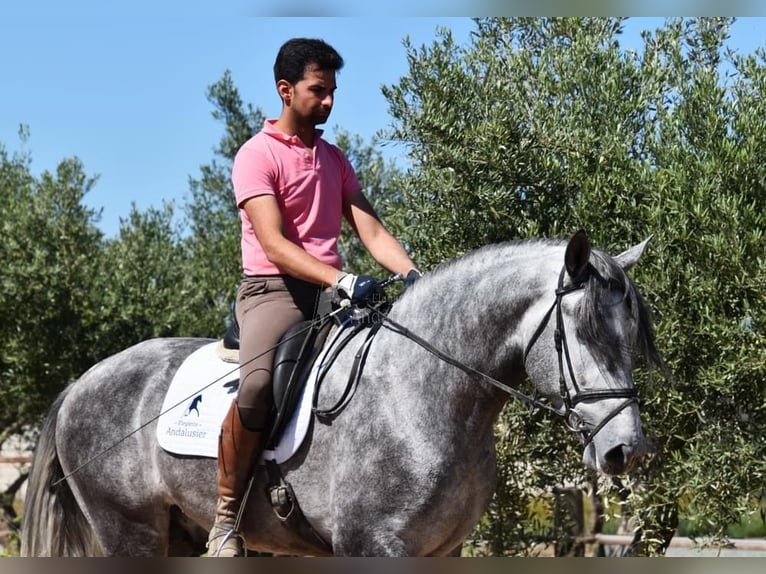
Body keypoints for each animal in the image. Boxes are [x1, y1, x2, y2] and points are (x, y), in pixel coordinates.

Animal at [21, 231, 664, 560]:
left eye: (631, 335)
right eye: (584, 333)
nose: (626, 450)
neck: (423, 398)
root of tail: (82, 383)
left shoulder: (442, 551)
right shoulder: (372, 546)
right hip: (131, 531)